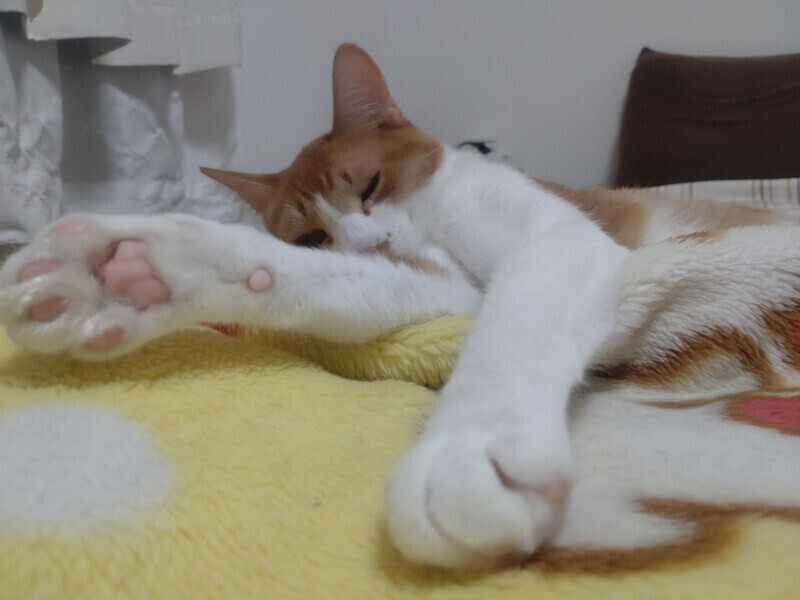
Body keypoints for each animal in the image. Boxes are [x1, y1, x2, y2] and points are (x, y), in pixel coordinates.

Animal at [0, 44, 793, 569]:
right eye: (312, 234)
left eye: (371, 185)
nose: (370, 237)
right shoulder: (446, 288)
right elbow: (340, 287)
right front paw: (137, 273)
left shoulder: (558, 242)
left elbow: (513, 326)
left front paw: (470, 449)